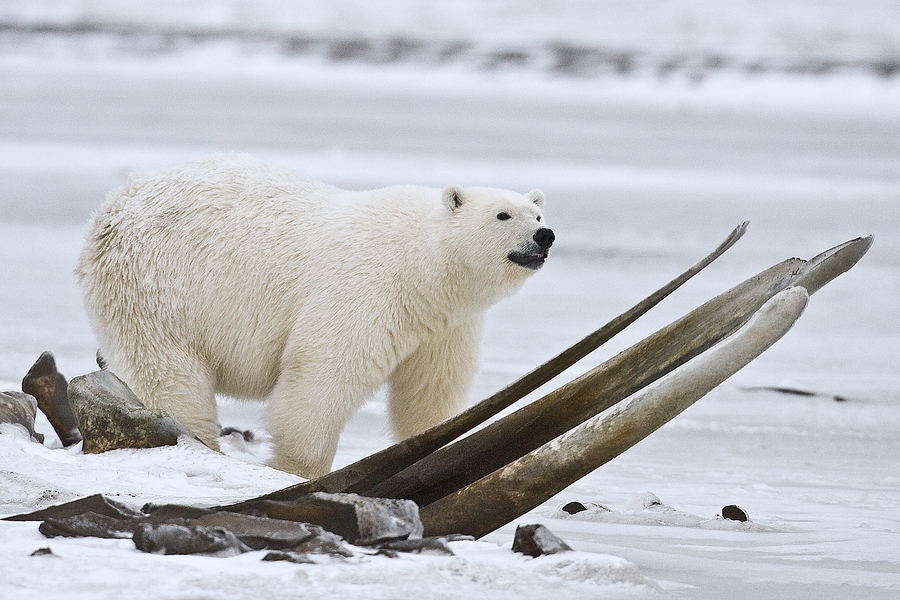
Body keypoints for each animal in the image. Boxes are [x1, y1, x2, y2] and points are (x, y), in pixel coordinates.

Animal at [75, 155, 556, 478]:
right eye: (502, 214)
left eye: (537, 212)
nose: (544, 235)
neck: (424, 267)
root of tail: (111, 207)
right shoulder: (364, 287)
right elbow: (321, 379)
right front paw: (299, 471)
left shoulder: (447, 324)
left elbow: (430, 391)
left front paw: (437, 447)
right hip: (156, 286)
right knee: (170, 374)